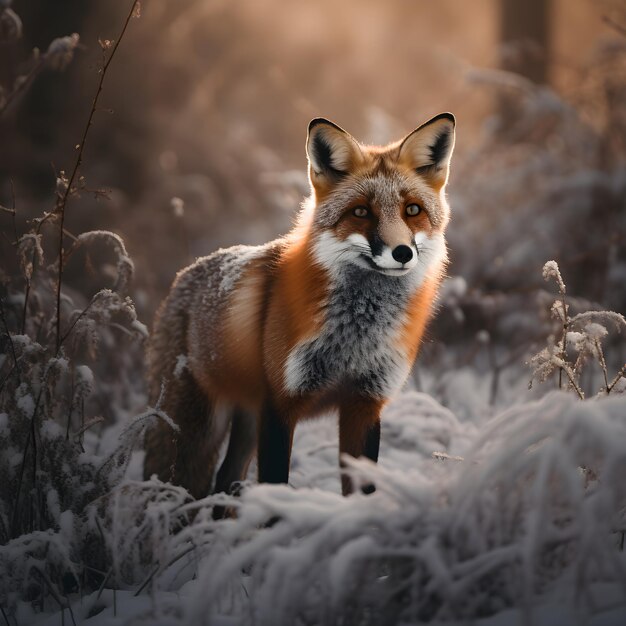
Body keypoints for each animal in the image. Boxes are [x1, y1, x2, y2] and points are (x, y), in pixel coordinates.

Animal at [141, 112, 454, 500]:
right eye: (361, 212)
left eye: (412, 210)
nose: (402, 253)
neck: (354, 340)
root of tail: (184, 274)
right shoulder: (281, 405)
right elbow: (275, 489)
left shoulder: (365, 404)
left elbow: (360, 493)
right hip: (196, 430)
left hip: (246, 420)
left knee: (225, 482)